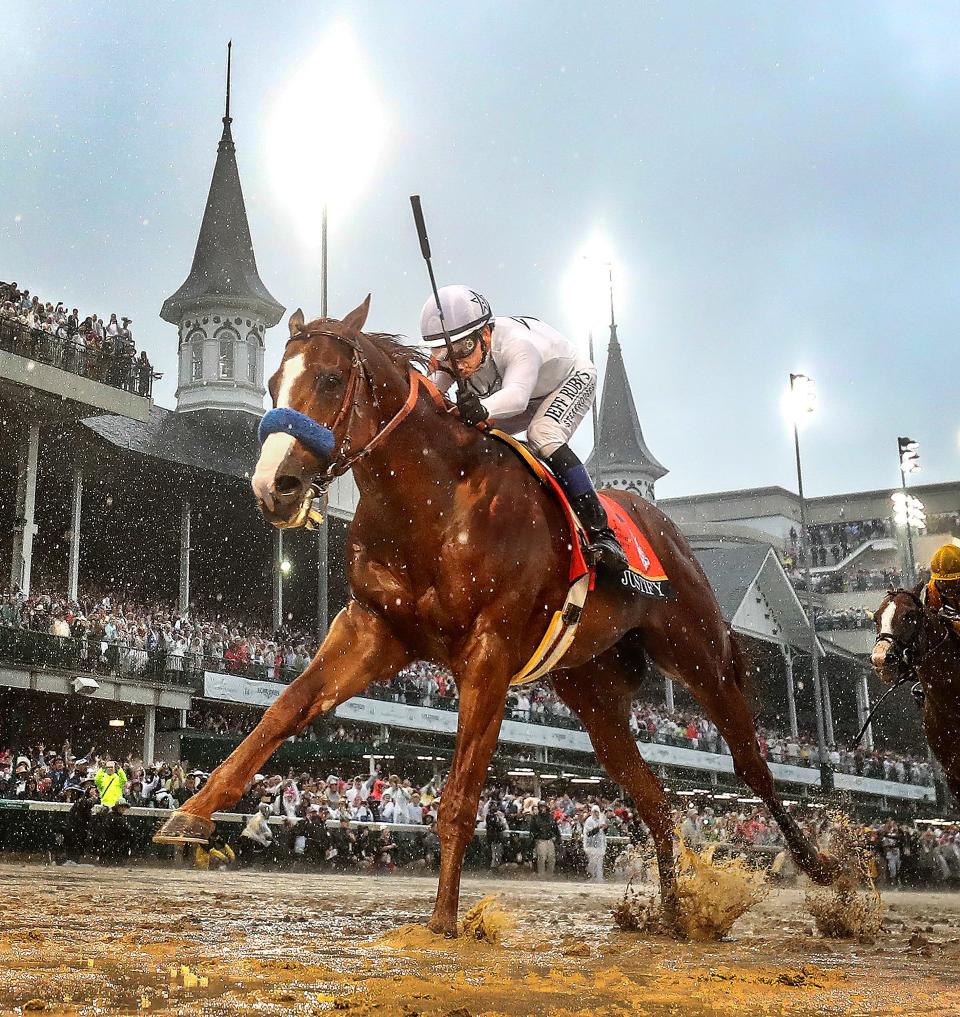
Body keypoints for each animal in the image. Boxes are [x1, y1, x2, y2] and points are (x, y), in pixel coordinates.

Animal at [155, 296, 833, 931]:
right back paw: (675, 912)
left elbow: (460, 796)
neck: (435, 500)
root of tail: (668, 530)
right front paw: (191, 813)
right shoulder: (373, 628)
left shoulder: (488, 651)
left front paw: (445, 922)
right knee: (655, 797)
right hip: (594, 694)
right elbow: (284, 709)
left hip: (698, 653)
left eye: (326, 378)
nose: (273, 485)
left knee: (751, 764)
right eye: (273, 383)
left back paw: (826, 874)